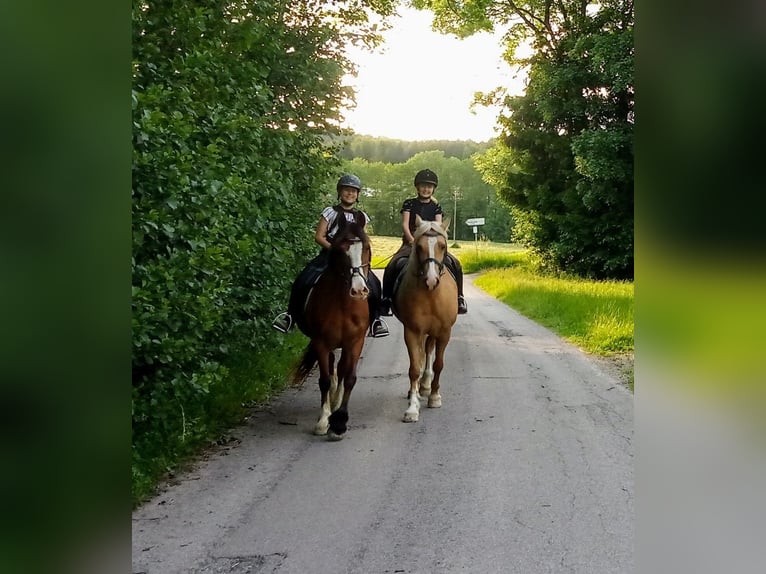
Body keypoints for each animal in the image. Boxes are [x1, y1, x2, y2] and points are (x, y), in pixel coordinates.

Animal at [292, 215, 372, 440]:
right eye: (340, 250)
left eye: (366, 248)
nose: (359, 291)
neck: (343, 304)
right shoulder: (321, 342)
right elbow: (325, 380)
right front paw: (323, 421)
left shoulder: (356, 341)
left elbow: (350, 377)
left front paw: (339, 422)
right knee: (331, 367)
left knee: (342, 368)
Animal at [392, 216, 460, 424]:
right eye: (419, 246)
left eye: (442, 246)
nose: (431, 280)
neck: (431, 295)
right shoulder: (412, 331)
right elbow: (414, 367)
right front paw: (412, 408)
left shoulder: (445, 332)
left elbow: (438, 364)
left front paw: (434, 396)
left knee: (429, 351)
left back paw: (426, 385)